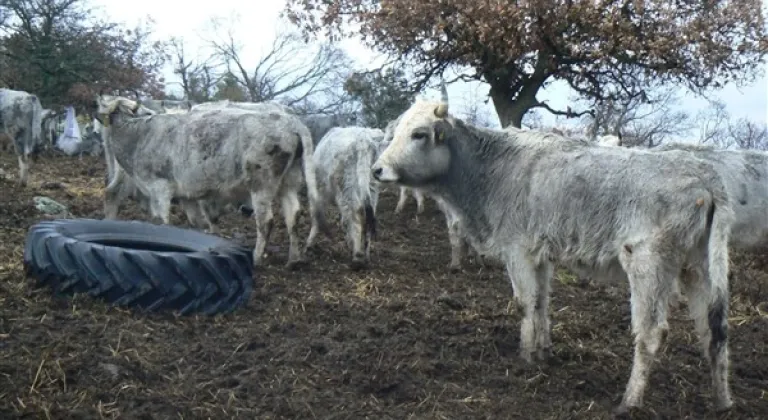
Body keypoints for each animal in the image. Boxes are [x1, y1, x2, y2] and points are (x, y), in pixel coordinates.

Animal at [97, 94, 324, 270]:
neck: (139, 135)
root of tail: (290, 121)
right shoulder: (186, 195)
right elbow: (195, 223)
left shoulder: (160, 188)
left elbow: (161, 221)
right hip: (289, 181)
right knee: (293, 215)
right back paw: (293, 259)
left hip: (262, 183)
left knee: (266, 221)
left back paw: (257, 258)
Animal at [306, 125, 388, 270]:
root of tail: (364, 140)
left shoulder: (318, 190)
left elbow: (316, 216)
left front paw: (309, 243)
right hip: (371, 187)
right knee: (366, 217)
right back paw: (365, 255)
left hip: (346, 188)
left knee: (355, 217)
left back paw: (357, 257)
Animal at [374, 86, 736, 414]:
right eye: (397, 131)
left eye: (419, 134)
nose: (378, 169)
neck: (494, 168)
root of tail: (705, 177)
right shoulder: (541, 256)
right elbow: (541, 303)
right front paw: (542, 351)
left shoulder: (517, 251)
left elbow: (524, 303)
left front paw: (525, 357)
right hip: (699, 269)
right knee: (714, 332)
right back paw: (722, 401)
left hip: (649, 266)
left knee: (651, 333)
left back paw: (629, 401)